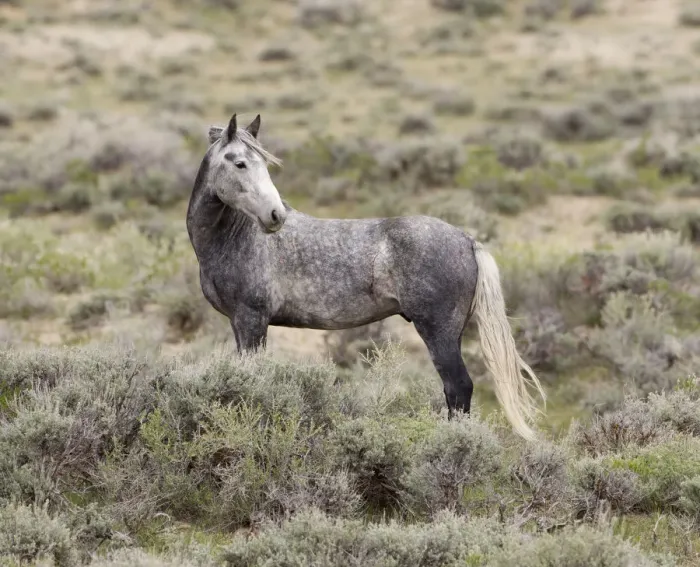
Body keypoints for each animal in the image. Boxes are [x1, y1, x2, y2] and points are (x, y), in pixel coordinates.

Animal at [186, 113, 546, 440]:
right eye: (240, 164)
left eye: (262, 163)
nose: (276, 216)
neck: (236, 237)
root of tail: (467, 240)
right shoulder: (240, 323)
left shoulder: (252, 320)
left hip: (438, 331)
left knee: (458, 387)